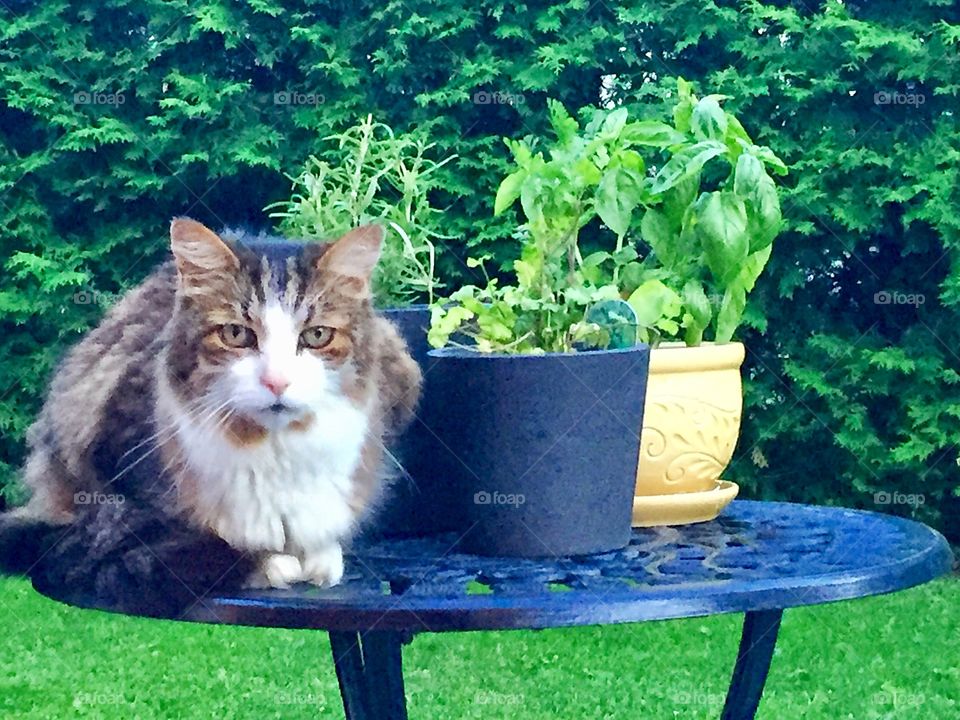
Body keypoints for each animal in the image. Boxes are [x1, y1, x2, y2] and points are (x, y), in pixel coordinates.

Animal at [0, 218, 424, 612]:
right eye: (236, 334)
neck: (275, 454)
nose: (277, 381)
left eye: (317, 336)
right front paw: (271, 564)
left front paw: (321, 557)